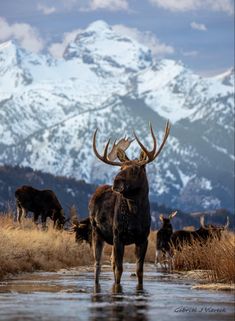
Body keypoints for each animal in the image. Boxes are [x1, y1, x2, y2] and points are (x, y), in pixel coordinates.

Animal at [79, 121, 171, 284]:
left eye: (135, 169)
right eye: (121, 167)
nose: (116, 181)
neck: (135, 214)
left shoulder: (143, 238)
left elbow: (139, 270)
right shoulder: (118, 236)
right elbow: (119, 270)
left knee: (110, 261)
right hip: (96, 232)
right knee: (98, 263)